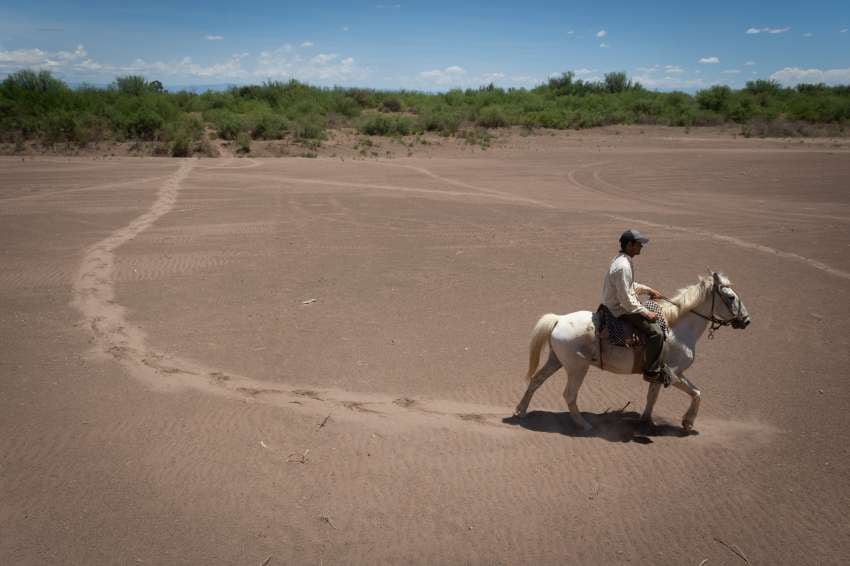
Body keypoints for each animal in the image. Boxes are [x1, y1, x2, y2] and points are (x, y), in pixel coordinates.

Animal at [510, 272, 748, 432]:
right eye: (730, 297)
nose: (746, 320)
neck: (677, 328)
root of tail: (559, 319)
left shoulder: (660, 374)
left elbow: (653, 396)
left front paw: (646, 421)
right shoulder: (673, 372)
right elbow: (697, 393)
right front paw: (687, 422)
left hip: (556, 360)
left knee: (536, 380)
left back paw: (520, 411)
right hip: (577, 368)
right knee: (569, 394)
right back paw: (583, 424)